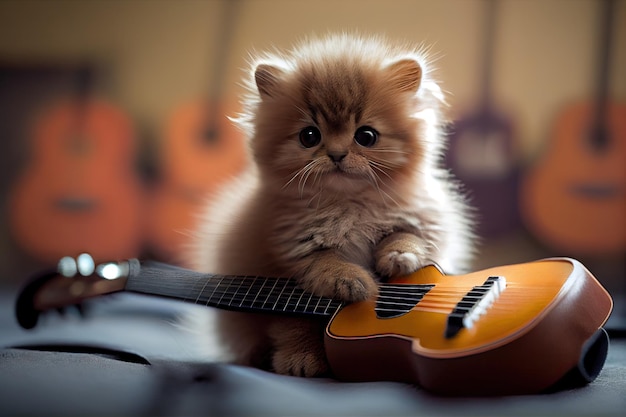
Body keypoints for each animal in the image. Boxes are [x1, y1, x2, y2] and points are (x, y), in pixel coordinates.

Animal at [189, 33, 472, 376]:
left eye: (366, 136)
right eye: (309, 136)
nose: (337, 154)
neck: (347, 205)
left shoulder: (424, 220)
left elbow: (406, 235)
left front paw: (398, 256)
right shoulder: (285, 261)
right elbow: (313, 286)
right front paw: (304, 353)